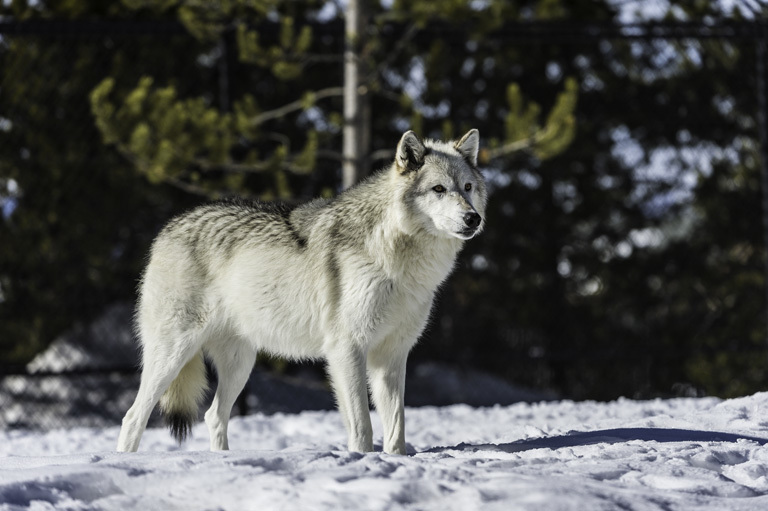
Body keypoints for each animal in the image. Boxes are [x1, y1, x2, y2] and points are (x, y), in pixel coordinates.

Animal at [115, 130, 486, 454]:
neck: (399, 258)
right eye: (439, 189)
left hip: (240, 364)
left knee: (213, 416)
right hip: (172, 355)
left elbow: (396, 426)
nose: (474, 218)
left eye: (467, 187)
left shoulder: (392, 355)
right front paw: (363, 460)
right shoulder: (346, 350)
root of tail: (169, 228)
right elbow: (362, 425)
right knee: (133, 417)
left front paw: (394, 460)